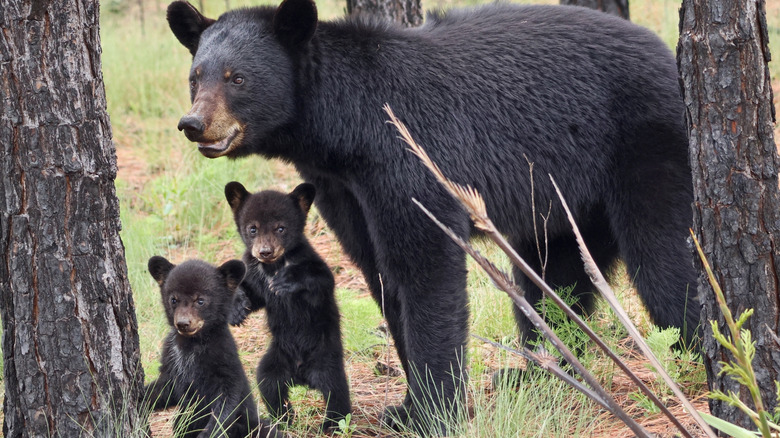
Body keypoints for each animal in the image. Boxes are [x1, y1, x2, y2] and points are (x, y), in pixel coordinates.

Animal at [144, 256, 283, 438]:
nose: (183, 323)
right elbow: (164, 389)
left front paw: (208, 432)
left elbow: (227, 400)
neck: (192, 343)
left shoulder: (223, 359)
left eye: (200, 300)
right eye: (173, 299)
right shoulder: (172, 360)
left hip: (252, 425)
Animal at [225, 181, 351, 431]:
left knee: (336, 391)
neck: (273, 266)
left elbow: (322, 280)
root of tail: (301, 375)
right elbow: (253, 294)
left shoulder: (311, 263)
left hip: (326, 359)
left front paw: (286, 281)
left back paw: (331, 424)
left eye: (281, 228)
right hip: (275, 360)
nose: (265, 251)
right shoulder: (254, 272)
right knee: (268, 384)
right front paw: (236, 310)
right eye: (252, 229)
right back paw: (283, 420)